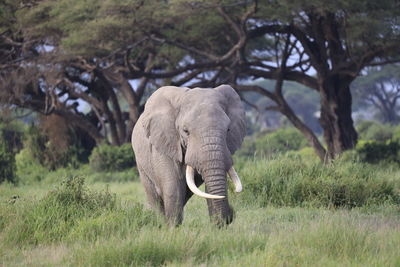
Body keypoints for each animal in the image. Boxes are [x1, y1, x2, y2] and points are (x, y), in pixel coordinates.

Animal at [131, 84, 245, 226]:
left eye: (228, 129)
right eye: (186, 131)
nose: (231, 215)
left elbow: (210, 187)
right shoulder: (165, 142)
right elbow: (173, 188)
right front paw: (173, 228)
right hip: (142, 165)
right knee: (156, 196)